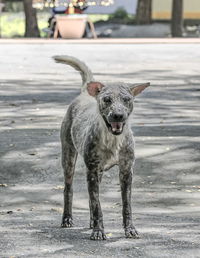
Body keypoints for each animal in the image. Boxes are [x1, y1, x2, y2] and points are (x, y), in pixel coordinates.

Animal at [53, 55, 150, 241]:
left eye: (127, 99)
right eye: (107, 99)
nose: (118, 115)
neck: (113, 140)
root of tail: (85, 93)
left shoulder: (126, 171)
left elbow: (126, 205)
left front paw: (130, 229)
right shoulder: (91, 169)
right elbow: (97, 205)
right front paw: (98, 231)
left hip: (98, 173)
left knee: (92, 198)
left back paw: (91, 221)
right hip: (69, 157)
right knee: (69, 189)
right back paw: (67, 218)